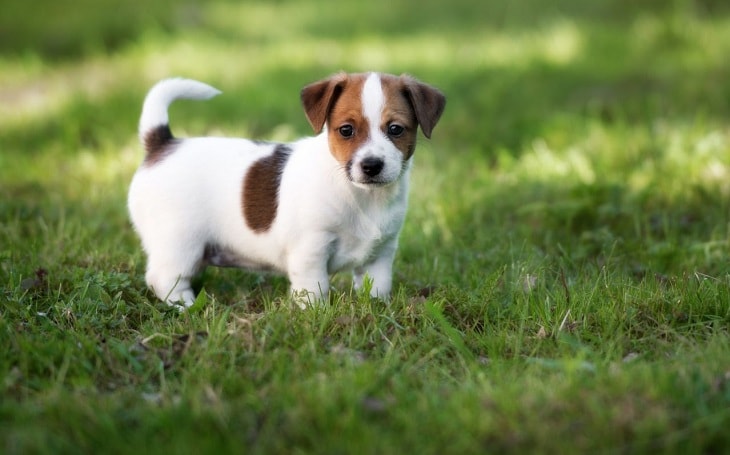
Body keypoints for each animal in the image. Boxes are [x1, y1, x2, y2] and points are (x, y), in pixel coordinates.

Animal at [127, 73, 444, 308]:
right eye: (346, 130)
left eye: (395, 129)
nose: (372, 165)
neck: (361, 197)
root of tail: (163, 144)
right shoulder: (311, 250)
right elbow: (315, 290)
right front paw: (316, 316)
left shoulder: (381, 254)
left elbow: (377, 288)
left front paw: (376, 311)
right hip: (180, 243)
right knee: (163, 278)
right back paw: (185, 304)